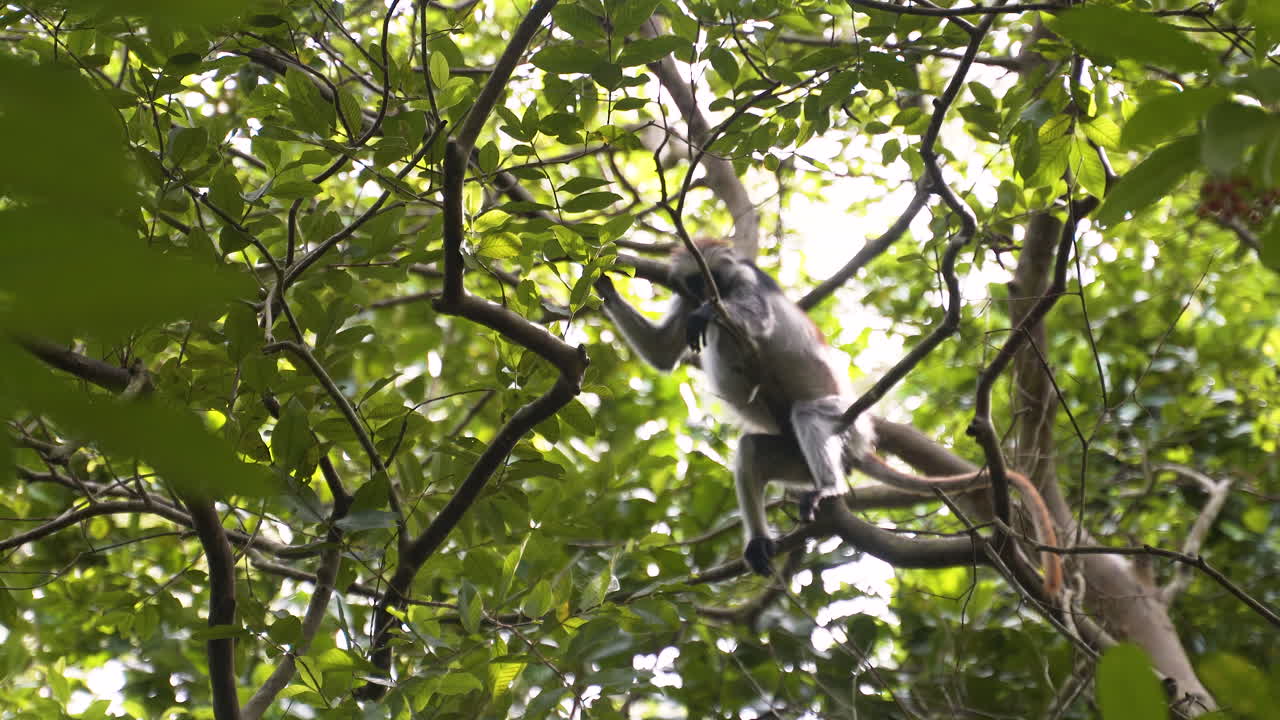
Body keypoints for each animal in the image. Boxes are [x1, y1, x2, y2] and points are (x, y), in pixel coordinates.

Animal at [595, 238, 1063, 595]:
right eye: (689, 282)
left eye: (706, 278)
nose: (699, 296)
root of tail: (859, 444)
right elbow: (661, 356)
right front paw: (602, 284)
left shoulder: (744, 282)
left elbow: (756, 322)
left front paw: (710, 313)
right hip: (795, 457)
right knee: (752, 448)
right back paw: (761, 540)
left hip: (842, 420)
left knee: (806, 413)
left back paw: (829, 488)